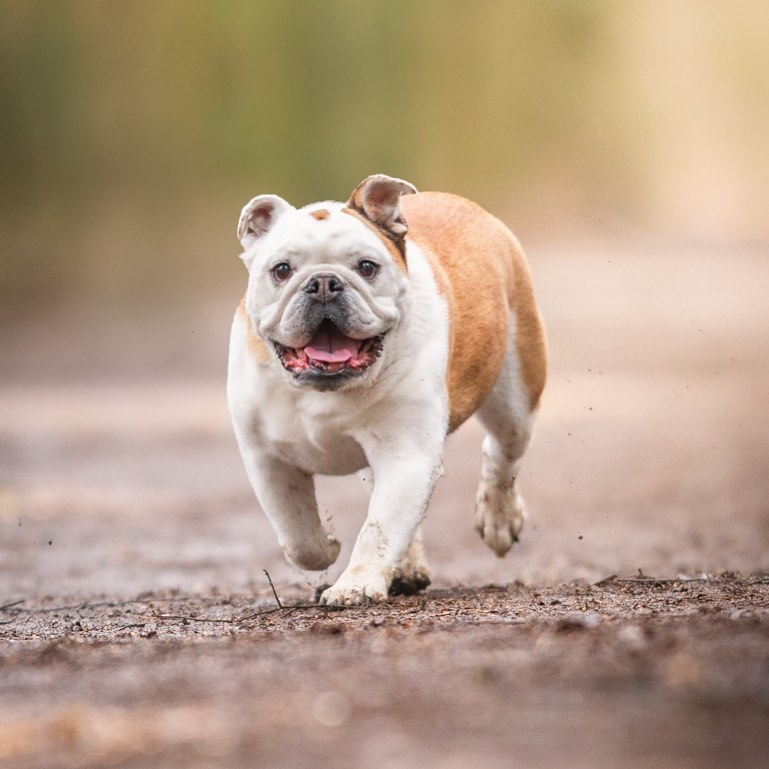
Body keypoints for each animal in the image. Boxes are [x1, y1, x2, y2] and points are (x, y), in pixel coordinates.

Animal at [228, 176, 544, 608]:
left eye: (366, 267)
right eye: (281, 270)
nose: (323, 283)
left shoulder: (406, 454)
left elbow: (378, 528)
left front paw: (356, 584)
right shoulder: (268, 459)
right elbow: (297, 534)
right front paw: (327, 546)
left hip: (515, 397)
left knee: (502, 453)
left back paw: (498, 520)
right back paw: (408, 567)